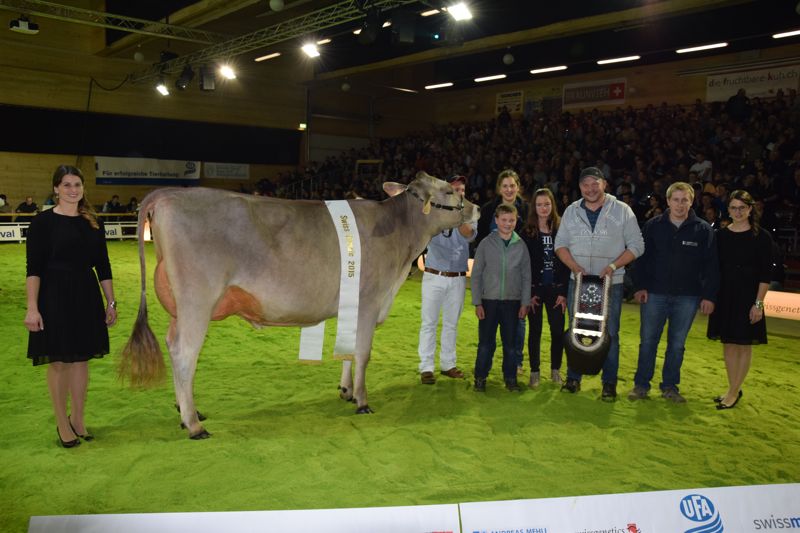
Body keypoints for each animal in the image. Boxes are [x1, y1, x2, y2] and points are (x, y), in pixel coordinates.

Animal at [120, 171, 480, 439]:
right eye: (450, 190)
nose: (476, 209)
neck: (400, 238)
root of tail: (169, 194)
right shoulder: (368, 302)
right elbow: (362, 353)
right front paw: (363, 401)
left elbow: (348, 352)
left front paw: (346, 391)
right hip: (197, 300)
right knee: (185, 352)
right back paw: (193, 424)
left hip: (180, 306)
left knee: (172, 344)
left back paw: (187, 410)